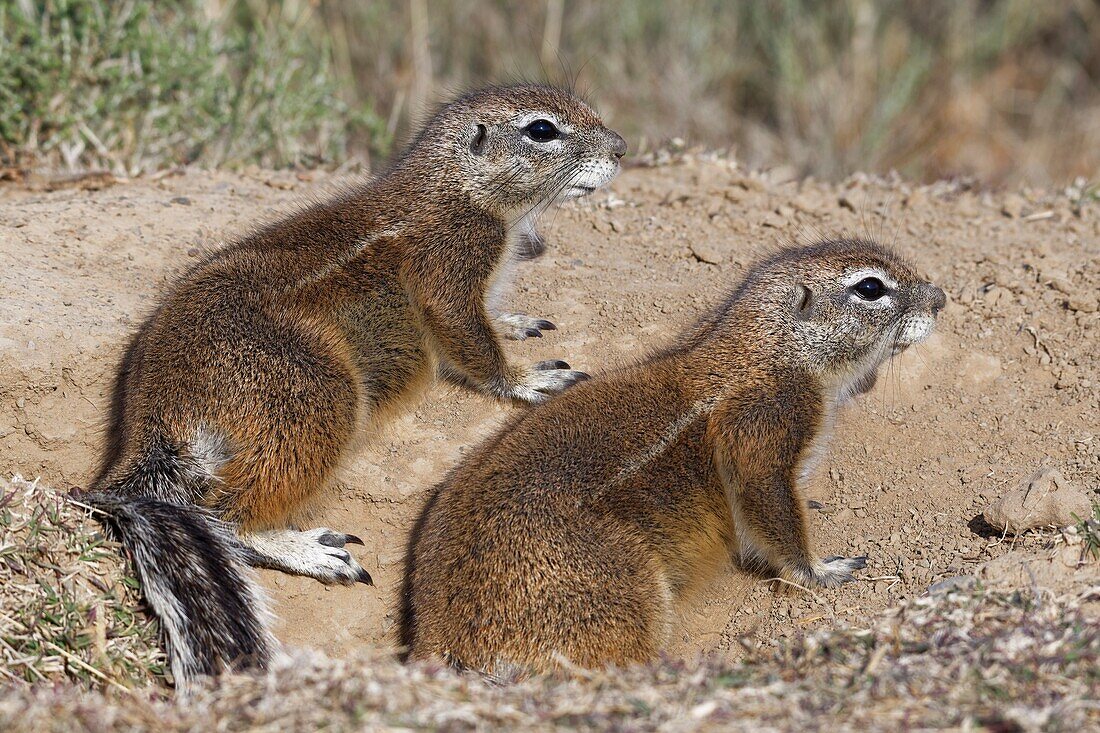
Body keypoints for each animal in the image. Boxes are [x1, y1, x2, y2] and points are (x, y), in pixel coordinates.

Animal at [81, 85, 624, 686]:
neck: (458, 189)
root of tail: (160, 412)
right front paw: (528, 379)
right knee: (228, 518)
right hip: (319, 399)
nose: (621, 148)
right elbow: (471, 343)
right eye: (542, 131)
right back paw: (312, 551)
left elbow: (490, 320)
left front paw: (515, 322)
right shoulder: (452, 269)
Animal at [402, 239, 946, 673]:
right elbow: (769, 504)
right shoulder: (765, 425)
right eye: (870, 288)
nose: (940, 298)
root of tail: (440, 639)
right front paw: (825, 570)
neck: (770, 350)